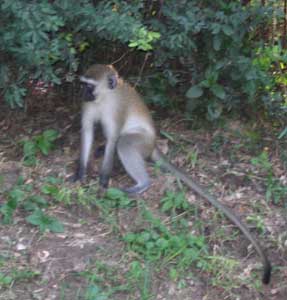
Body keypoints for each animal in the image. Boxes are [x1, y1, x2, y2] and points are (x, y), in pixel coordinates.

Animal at [72, 63, 272, 284]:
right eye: (83, 85)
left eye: (89, 87)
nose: (81, 94)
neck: (105, 97)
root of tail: (153, 145)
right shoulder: (90, 106)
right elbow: (88, 132)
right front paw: (81, 174)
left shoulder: (116, 109)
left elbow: (113, 139)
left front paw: (103, 182)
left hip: (143, 143)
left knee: (123, 143)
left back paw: (142, 183)